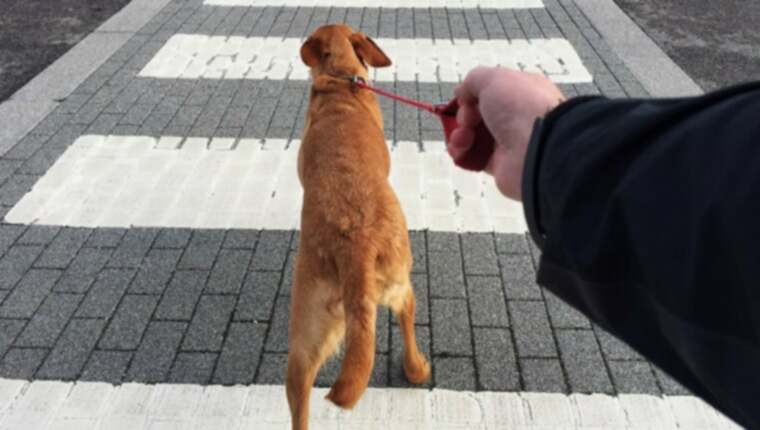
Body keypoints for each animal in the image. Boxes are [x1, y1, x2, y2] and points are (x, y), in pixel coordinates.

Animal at [286, 24, 430, 430]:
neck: (342, 81)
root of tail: (356, 246)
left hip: (305, 334)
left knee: (299, 399)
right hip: (400, 280)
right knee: (408, 316)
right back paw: (417, 368)